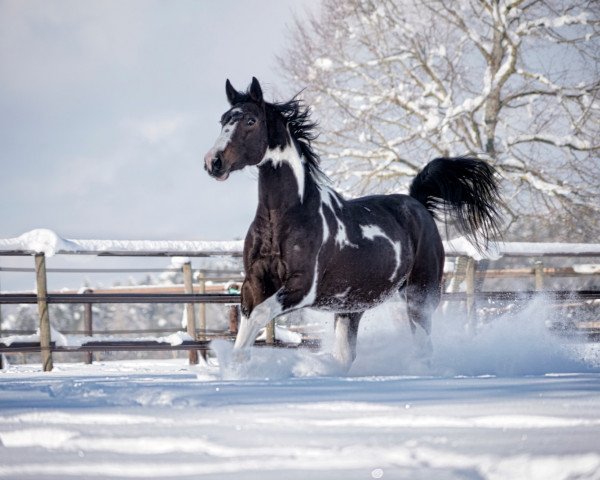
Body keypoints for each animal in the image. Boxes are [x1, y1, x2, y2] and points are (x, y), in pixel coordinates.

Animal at [204, 77, 500, 370]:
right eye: (223, 120)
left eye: (250, 121)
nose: (213, 162)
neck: (284, 218)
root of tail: (417, 203)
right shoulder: (254, 282)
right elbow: (246, 326)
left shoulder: (303, 287)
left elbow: (259, 314)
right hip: (354, 308)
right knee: (349, 354)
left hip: (420, 295)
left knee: (423, 347)